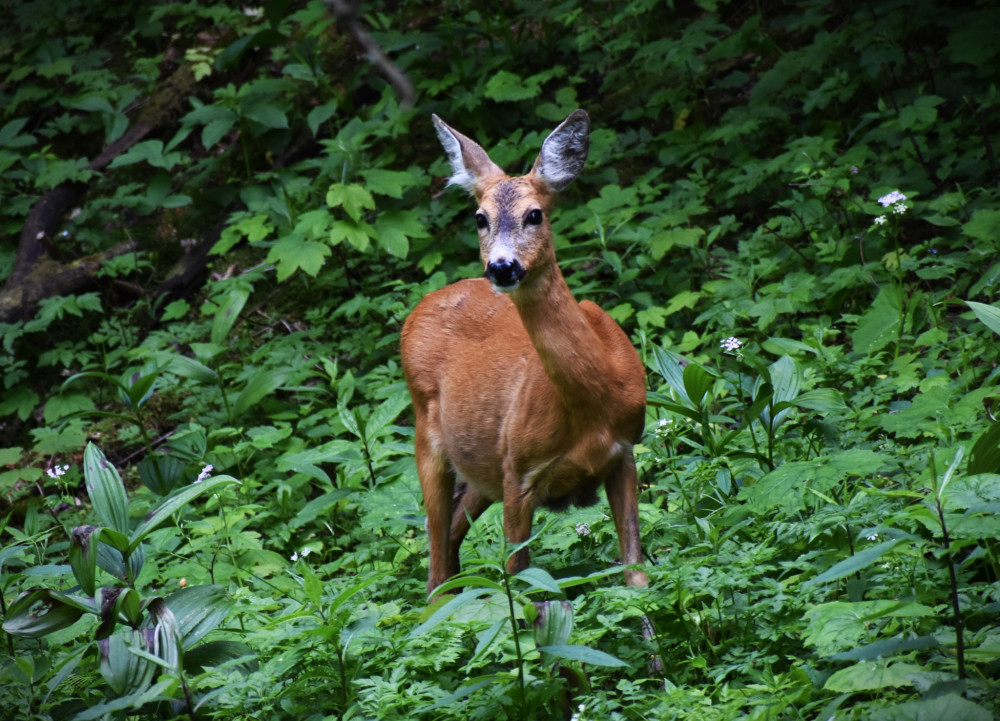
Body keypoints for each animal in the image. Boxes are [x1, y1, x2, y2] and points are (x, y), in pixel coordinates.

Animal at [402, 108, 652, 612]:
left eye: (534, 214)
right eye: (480, 218)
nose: (501, 267)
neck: (593, 406)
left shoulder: (625, 452)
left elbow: (635, 575)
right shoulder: (518, 470)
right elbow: (524, 589)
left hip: (480, 470)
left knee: (450, 541)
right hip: (430, 441)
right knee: (435, 565)